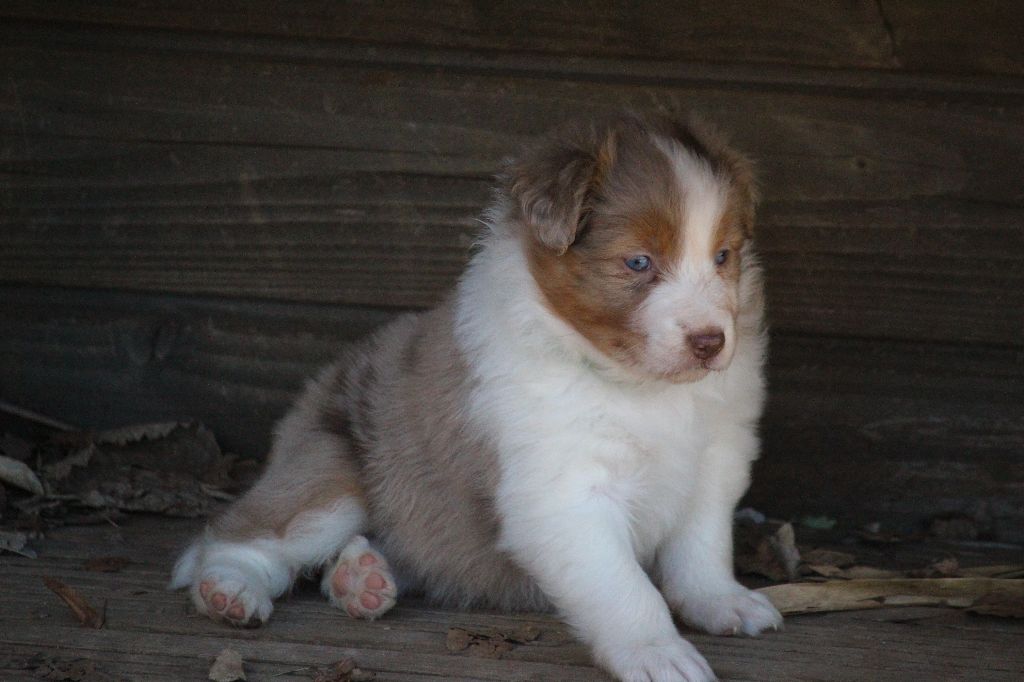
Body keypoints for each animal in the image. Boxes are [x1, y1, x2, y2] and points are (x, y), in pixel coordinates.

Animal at [171, 111, 782, 682]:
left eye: (723, 256)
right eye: (638, 262)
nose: (710, 342)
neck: (639, 385)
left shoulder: (714, 461)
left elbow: (701, 549)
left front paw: (723, 602)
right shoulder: (564, 493)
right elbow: (624, 587)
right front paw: (657, 652)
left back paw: (359, 580)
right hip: (331, 471)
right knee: (245, 535)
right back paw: (230, 590)